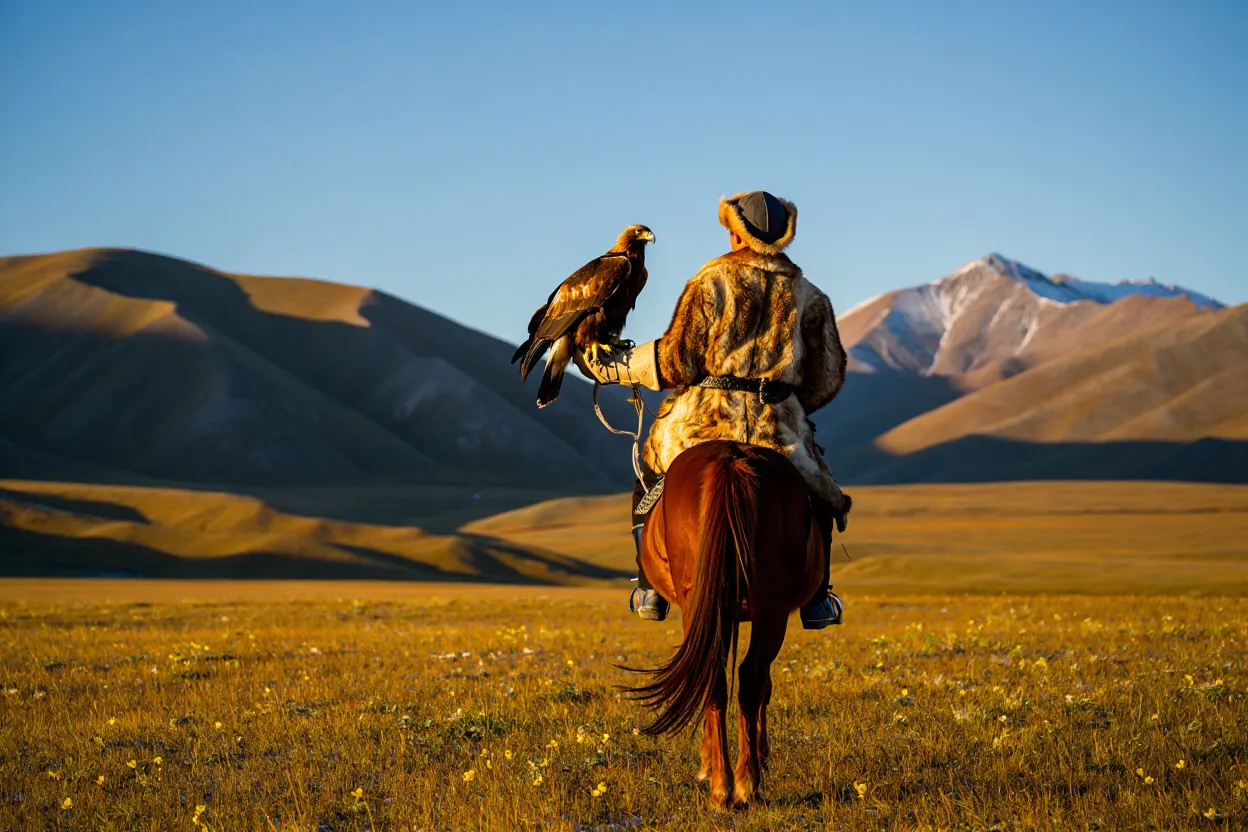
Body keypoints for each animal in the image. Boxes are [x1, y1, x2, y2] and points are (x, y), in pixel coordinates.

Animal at [622, 440, 828, 810]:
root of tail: (731, 459)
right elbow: (762, 685)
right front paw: (758, 755)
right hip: (769, 607)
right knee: (747, 676)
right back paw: (742, 783)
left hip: (712, 602)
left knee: (722, 676)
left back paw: (726, 784)